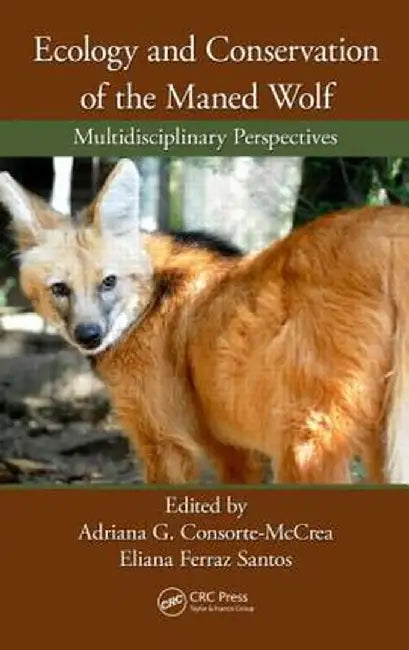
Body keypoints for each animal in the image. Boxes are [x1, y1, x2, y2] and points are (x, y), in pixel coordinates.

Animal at [1, 159, 409, 484]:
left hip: (305, 441)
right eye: (60, 289)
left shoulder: (165, 440)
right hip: (377, 439)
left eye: (108, 282)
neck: (150, 299)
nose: (89, 335)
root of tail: (390, 229)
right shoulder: (231, 449)